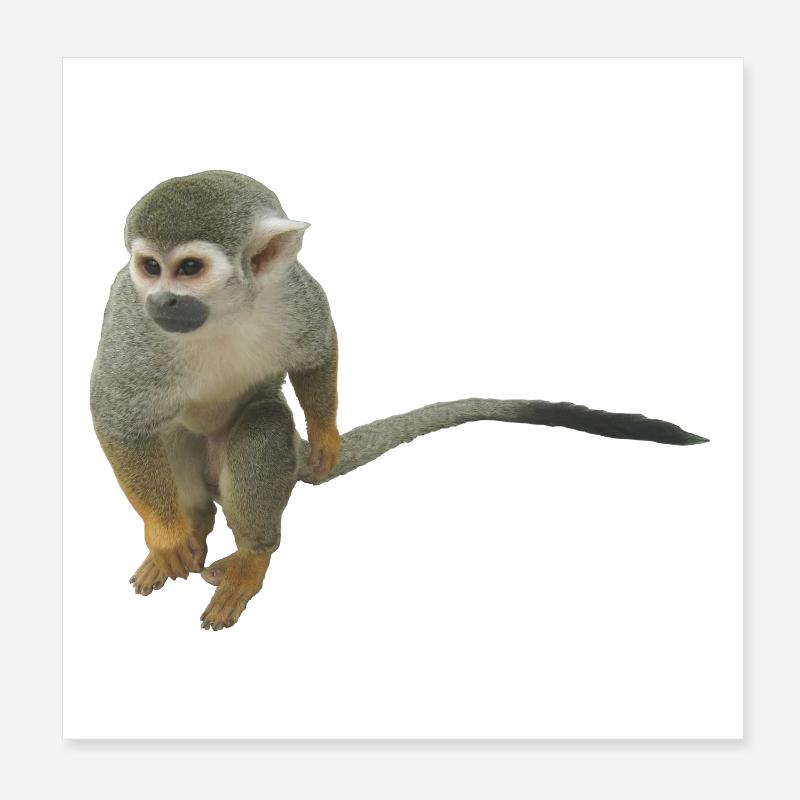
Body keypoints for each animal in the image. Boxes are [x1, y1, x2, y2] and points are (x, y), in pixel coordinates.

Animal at [90, 170, 709, 631]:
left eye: (189, 268)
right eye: (150, 267)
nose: (164, 301)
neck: (224, 312)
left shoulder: (293, 292)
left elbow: (319, 350)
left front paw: (327, 437)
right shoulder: (131, 319)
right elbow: (114, 414)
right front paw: (166, 534)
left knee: (264, 422)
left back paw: (253, 554)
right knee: (170, 437)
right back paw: (188, 527)